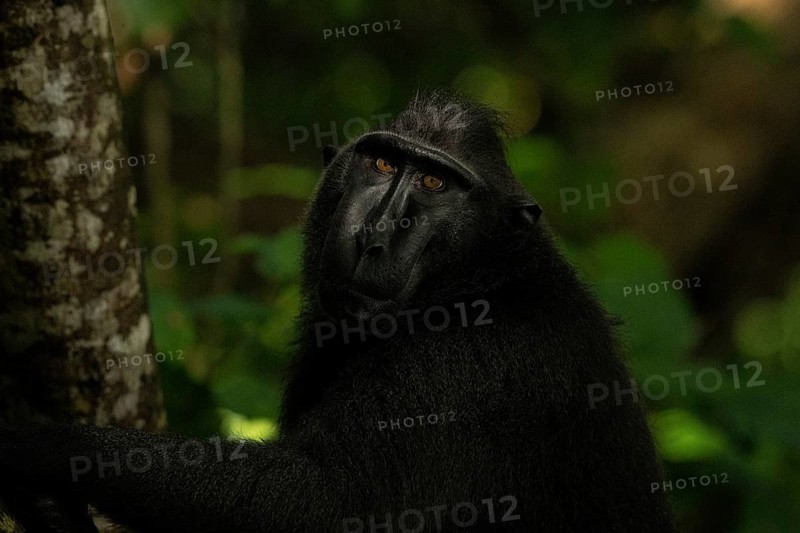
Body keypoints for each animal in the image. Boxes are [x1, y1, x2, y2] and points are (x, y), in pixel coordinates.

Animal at [0, 89, 675, 532]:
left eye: (435, 184)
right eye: (382, 163)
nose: (373, 232)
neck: (475, 283)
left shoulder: (468, 364)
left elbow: (329, 504)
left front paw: (47, 448)